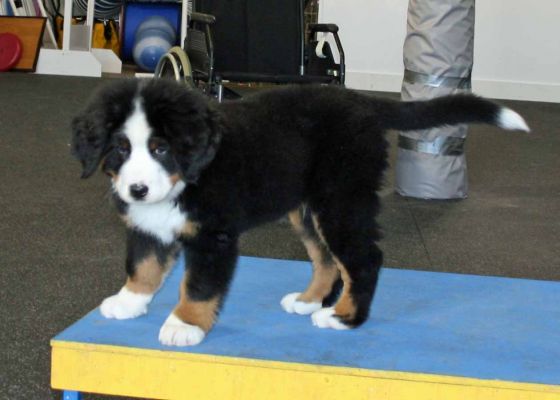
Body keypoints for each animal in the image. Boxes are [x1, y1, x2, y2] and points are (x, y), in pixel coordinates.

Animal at [71, 79, 528, 346]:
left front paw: (185, 324)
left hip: (341, 199)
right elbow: (142, 266)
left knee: (364, 259)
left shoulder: (214, 236)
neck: (189, 177)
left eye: (161, 148)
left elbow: (198, 286)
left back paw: (344, 317)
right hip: (309, 209)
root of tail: (359, 100)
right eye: (120, 149)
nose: (138, 189)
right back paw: (309, 301)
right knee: (327, 260)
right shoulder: (145, 226)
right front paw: (128, 302)